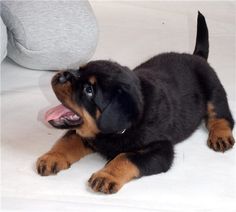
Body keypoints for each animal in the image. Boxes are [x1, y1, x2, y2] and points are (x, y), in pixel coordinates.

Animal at [36, 12, 234, 194]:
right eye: (78, 70)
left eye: (89, 90)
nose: (62, 75)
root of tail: (197, 56)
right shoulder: (85, 134)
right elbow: (67, 141)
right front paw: (51, 157)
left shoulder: (161, 150)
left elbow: (125, 157)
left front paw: (106, 175)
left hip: (213, 88)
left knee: (222, 116)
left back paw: (220, 136)